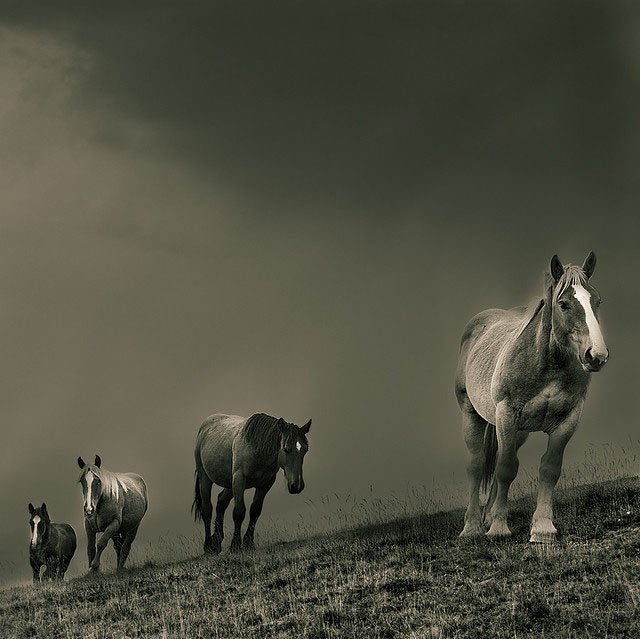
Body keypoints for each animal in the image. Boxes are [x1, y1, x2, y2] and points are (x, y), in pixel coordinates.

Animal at [194, 416, 312, 556]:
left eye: (305, 450)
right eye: (286, 449)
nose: (297, 486)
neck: (257, 450)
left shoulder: (265, 484)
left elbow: (255, 511)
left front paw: (248, 543)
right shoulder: (239, 479)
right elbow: (239, 512)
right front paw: (235, 545)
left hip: (229, 483)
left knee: (221, 501)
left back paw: (216, 541)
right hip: (205, 478)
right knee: (207, 510)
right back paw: (208, 546)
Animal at [456, 252, 608, 544]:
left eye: (597, 301)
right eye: (563, 304)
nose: (596, 355)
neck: (546, 362)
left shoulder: (568, 420)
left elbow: (549, 469)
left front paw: (543, 529)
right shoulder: (507, 414)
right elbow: (505, 468)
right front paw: (499, 528)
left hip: (519, 431)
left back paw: (488, 517)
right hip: (472, 415)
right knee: (476, 466)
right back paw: (472, 526)